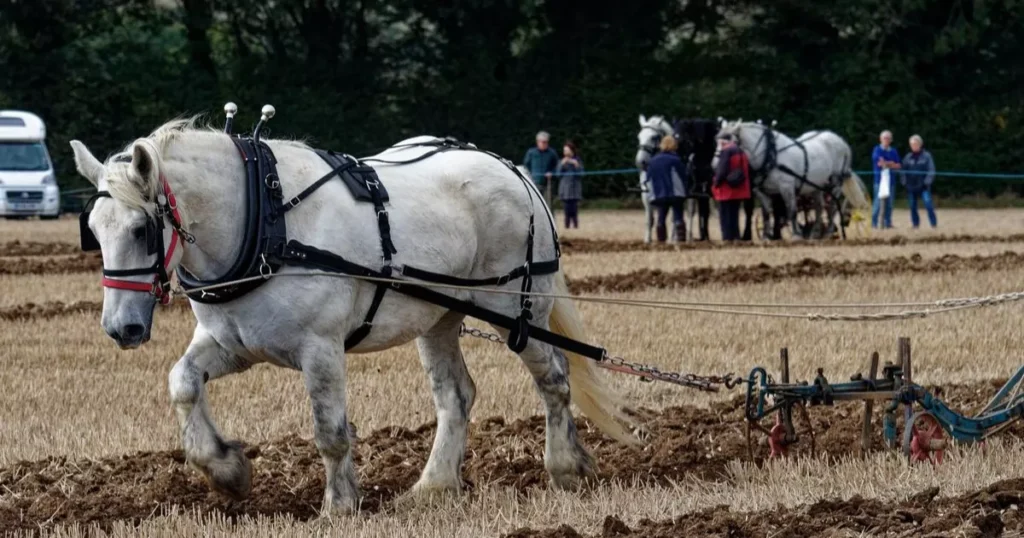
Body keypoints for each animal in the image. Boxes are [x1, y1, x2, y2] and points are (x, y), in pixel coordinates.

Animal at [70, 119, 630, 514]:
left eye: (142, 229)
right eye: (93, 230)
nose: (121, 328)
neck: (264, 221)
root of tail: (515, 171)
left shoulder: (320, 348)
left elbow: (330, 432)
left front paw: (339, 505)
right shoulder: (234, 344)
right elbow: (182, 383)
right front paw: (226, 470)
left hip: (514, 308)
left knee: (554, 379)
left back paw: (566, 469)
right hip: (440, 316)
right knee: (456, 395)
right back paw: (432, 487)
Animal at [716, 122, 868, 239]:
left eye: (727, 143)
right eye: (717, 142)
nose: (715, 166)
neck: (771, 155)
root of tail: (840, 140)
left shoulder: (786, 187)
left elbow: (792, 210)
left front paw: (796, 234)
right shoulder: (762, 191)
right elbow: (766, 214)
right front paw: (766, 236)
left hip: (835, 183)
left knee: (831, 207)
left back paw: (829, 232)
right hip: (817, 185)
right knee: (819, 207)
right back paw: (815, 233)